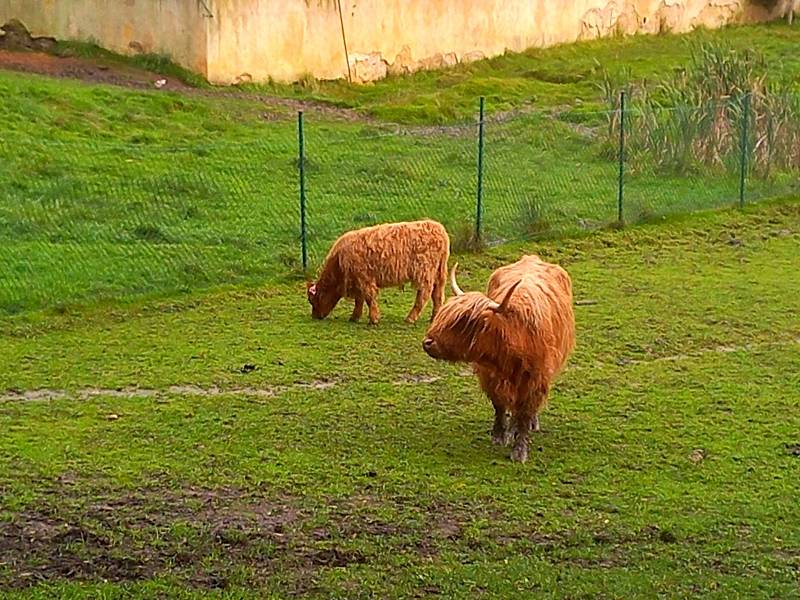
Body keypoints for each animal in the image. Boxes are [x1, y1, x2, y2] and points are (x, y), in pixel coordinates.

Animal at [306, 219, 450, 326]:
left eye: (312, 300)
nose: (315, 316)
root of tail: (439, 228)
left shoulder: (364, 278)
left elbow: (369, 298)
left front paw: (373, 319)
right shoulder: (358, 281)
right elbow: (360, 300)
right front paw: (355, 317)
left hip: (424, 272)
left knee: (424, 294)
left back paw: (410, 318)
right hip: (438, 273)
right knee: (437, 294)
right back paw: (434, 317)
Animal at [418, 255, 576, 462]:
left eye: (462, 321)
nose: (427, 342)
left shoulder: (535, 379)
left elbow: (525, 413)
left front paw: (519, 451)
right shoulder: (489, 375)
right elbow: (499, 405)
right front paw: (499, 436)